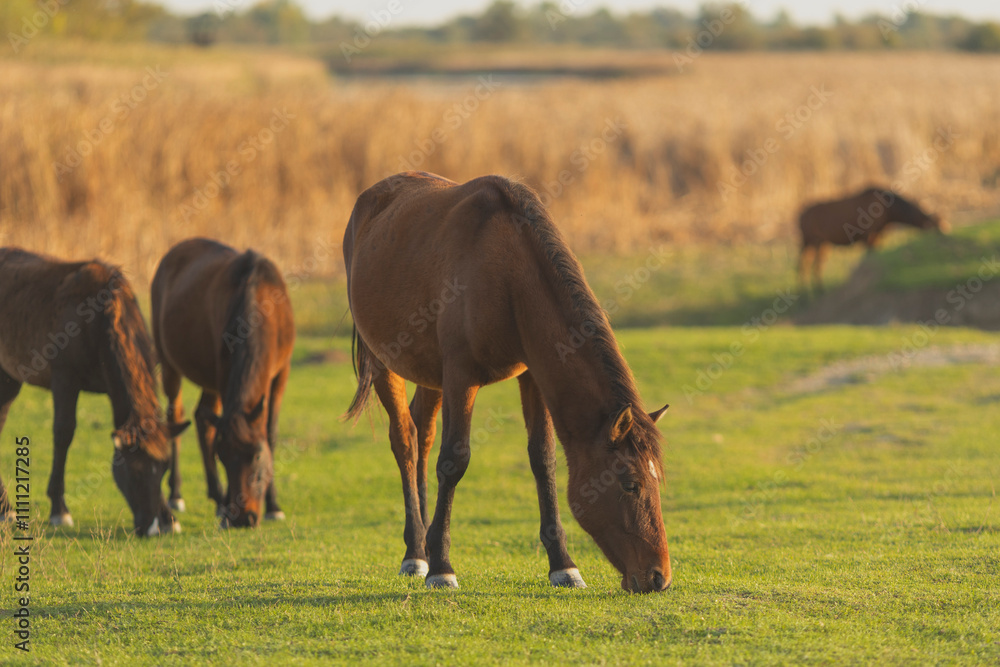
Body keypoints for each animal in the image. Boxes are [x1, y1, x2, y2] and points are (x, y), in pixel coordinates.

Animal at [0, 248, 189, 536]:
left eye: (164, 468)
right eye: (134, 472)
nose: (150, 526)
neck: (99, 320)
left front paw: (169, 517)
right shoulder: (64, 378)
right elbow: (63, 433)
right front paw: (59, 509)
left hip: (10, 377)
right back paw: (7, 508)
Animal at [151, 238, 294, 528]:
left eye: (257, 456)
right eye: (223, 457)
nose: (242, 518)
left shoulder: (281, 371)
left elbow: (270, 433)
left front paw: (273, 505)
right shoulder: (223, 371)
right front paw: (228, 503)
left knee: (200, 416)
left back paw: (217, 499)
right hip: (169, 363)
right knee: (177, 415)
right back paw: (178, 494)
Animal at [344, 172, 672, 593]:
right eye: (630, 483)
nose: (659, 576)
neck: (508, 272)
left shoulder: (532, 374)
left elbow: (543, 459)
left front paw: (563, 565)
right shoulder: (460, 377)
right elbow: (454, 460)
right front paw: (441, 567)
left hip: (428, 373)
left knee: (422, 434)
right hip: (384, 362)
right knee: (405, 441)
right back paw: (416, 553)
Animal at [797, 186, 948, 292]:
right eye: (936, 225)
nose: (944, 233)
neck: (890, 211)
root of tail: (799, 216)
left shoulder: (878, 235)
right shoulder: (867, 235)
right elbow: (868, 254)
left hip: (823, 243)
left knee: (816, 265)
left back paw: (818, 290)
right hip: (808, 240)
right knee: (805, 265)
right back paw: (807, 293)